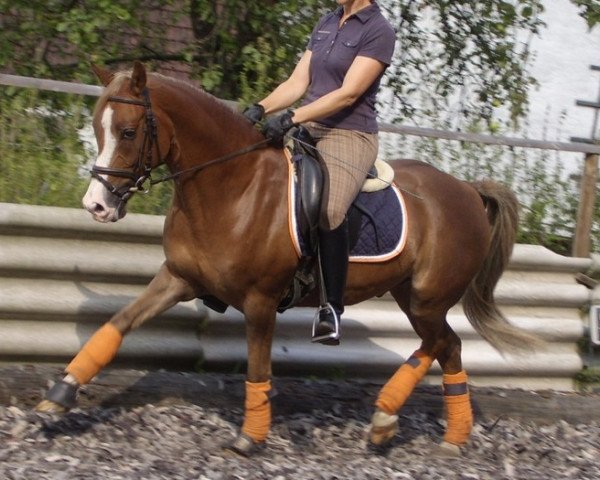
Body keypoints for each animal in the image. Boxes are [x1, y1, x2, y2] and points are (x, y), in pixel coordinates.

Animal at [36, 62, 536, 456]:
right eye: (97, 129)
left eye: (128, 131)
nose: (97, 205)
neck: (230, 186)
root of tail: (467, 189)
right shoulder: (177, 278)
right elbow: (117, 325)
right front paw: (58, 395)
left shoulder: (260, 301)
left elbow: (258, 367)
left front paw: (250, 437)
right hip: (408, 295)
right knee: (444, 346)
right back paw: (423, 430)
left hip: (428, 298)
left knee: (442, 343)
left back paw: (406, 424)